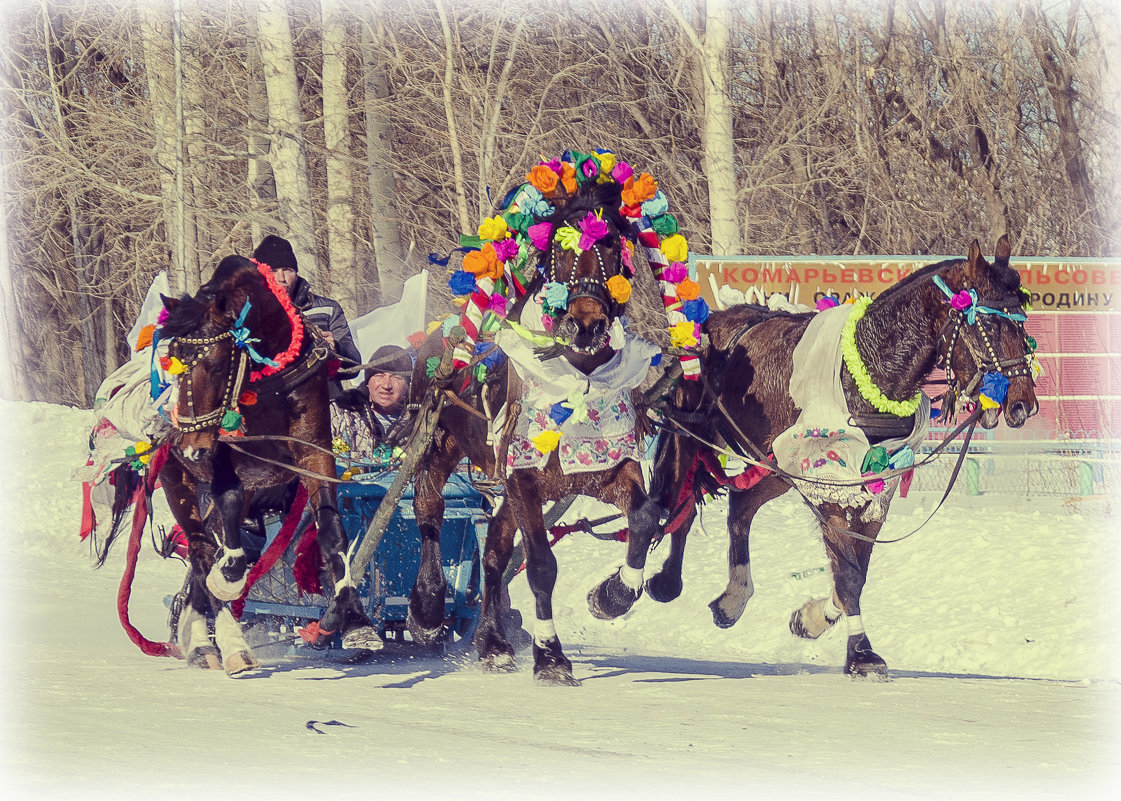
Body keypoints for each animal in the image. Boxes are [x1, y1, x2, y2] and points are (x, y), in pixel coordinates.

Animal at [156, 255, 381, 672]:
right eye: (173, 361)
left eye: (216, 365)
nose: (191, 447)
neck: (271, 381)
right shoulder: (226, 454)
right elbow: (227, 541)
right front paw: (228, 576)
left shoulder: (315, 453)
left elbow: (332, 532)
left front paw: (356, 620)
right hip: (178, 484)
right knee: (201, 550)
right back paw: (223, 642)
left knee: (206, 553)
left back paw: (201, 635)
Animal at [405, 183, 659, 690]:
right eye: (558, 250)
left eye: (611, 247)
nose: (586, 324)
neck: (576, 379)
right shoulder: (522, 476)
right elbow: (542, 565)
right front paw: (551, 656)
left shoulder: (606, 468)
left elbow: (643, 518)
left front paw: (613, 595)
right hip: (441, 441)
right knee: (429, 506)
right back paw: (426, 607)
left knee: (494, 553)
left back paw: (493, 644)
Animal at [645, 236, 1035, 676]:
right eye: (991, 323)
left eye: (1022, 322)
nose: (1023, 405)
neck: (867, 371)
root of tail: (709, 325)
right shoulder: (827, 481)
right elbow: (847, 573)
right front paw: (862, 652)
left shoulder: (875, 484)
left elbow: (855, 569)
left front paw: (815, 618)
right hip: (694, 436)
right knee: (680, 502)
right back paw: (657, 583)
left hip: (777, 467)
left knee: (741, 505)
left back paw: (733, 598)